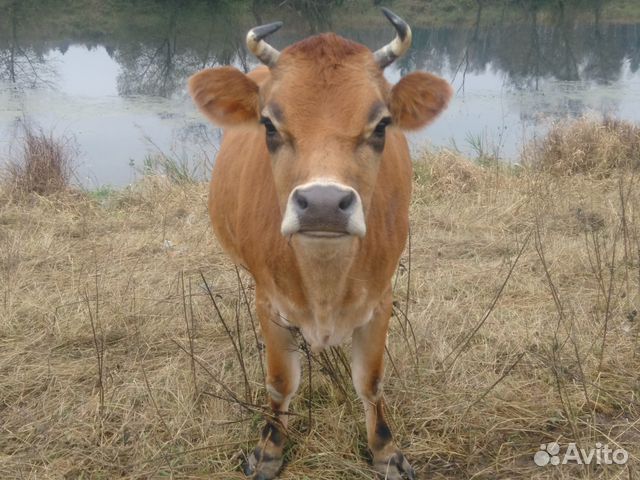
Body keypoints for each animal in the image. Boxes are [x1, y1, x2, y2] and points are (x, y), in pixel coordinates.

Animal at [188, 8, 452, 480]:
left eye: (382, 124)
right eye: (268, 124)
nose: (324, 204)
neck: (326, 284)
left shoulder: (380, 300)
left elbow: (370, 381)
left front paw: (386, 451)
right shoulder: (269, 302)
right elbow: (280, 383)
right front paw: (269, 450)